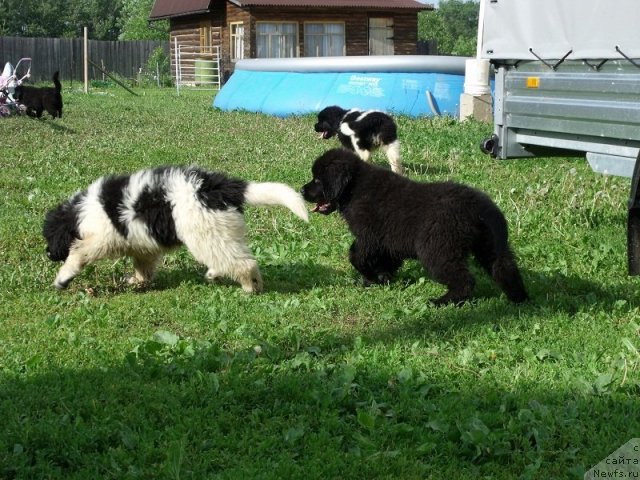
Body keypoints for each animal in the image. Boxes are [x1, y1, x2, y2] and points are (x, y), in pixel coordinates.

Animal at [42, 165, 308, 292]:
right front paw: (136, 281)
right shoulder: (143, 245)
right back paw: (217, 274)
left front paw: (62, 278)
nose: (48, 254)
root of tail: (219, 187)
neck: (80, 213)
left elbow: (78, 253)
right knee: (232, 256)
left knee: (244, 263)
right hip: (220, 229)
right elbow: (143, 266)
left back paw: (250, 287)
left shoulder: (101, 238)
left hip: (204, 232)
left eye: (49, 238)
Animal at [302, 148, 528, 306]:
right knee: (504, 267)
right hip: (489, 245)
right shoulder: (388, 242)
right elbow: (386, 261)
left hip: (437, 250)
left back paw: (443, 301)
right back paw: (519, 298)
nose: (302, 190)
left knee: (465, 280)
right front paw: (380, 278)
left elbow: (356, 256)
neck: (354, 188)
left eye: (317, 180)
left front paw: (370, 277)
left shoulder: (369, 237)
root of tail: (478, 207)